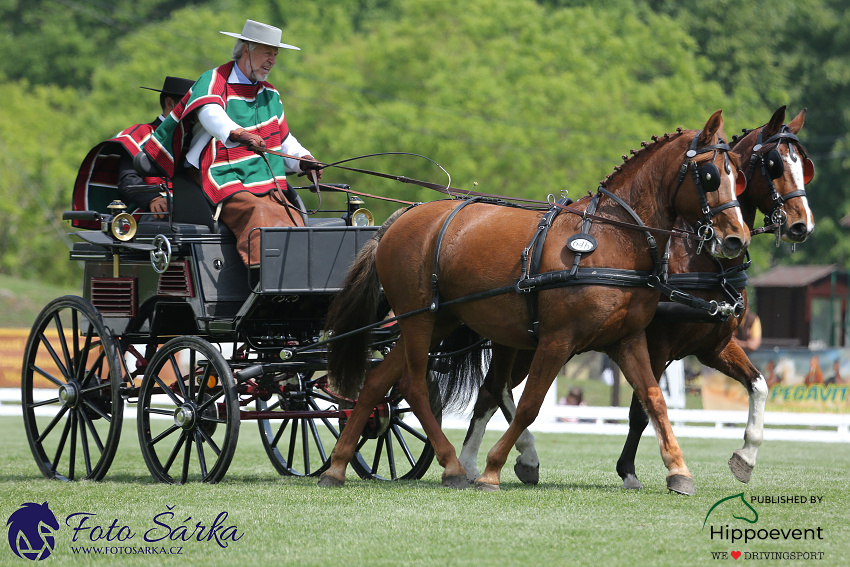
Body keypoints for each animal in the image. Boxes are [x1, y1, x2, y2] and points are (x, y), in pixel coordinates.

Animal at [320, 110, 748, 492]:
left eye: (738, 176)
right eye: (711, 175)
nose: (736, 238)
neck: (612, 239)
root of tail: (400, 218)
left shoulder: (627, 340)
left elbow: (653, 399)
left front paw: (679, 471)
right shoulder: (558, 340)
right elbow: (530, 405)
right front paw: (493, 470)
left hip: (439, 319)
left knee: (378, 382)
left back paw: (337, 466)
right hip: (418, 320)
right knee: (414, 385)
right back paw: (454, 466)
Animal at [454, 108, 812, 490]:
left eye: (804, 165)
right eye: (774, 164)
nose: (802, 225)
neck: (699, 261)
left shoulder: (712, 345)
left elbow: (758, 385)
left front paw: (746, 456)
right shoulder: (657, 345)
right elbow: (640, 408)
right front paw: (631, 469)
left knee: (492, 391)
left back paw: (491, 461)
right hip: (524, 341)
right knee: (495, 391)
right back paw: (490, 460)